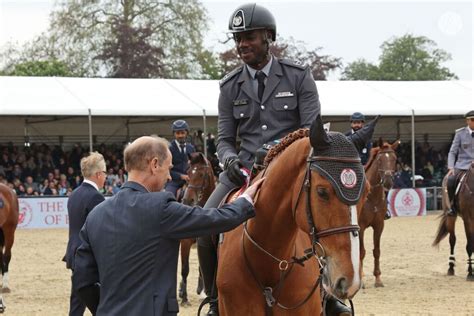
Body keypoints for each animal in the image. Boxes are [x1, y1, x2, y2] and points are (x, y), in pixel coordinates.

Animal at [360, 139, 400, 288]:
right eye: (379, 160)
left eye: (394, 159)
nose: (388, 181)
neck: (372, 196)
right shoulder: (360, 227)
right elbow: (362, 252)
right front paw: (361, 280)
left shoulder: (379, 225)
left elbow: (376, 251)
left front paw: (378, 279)